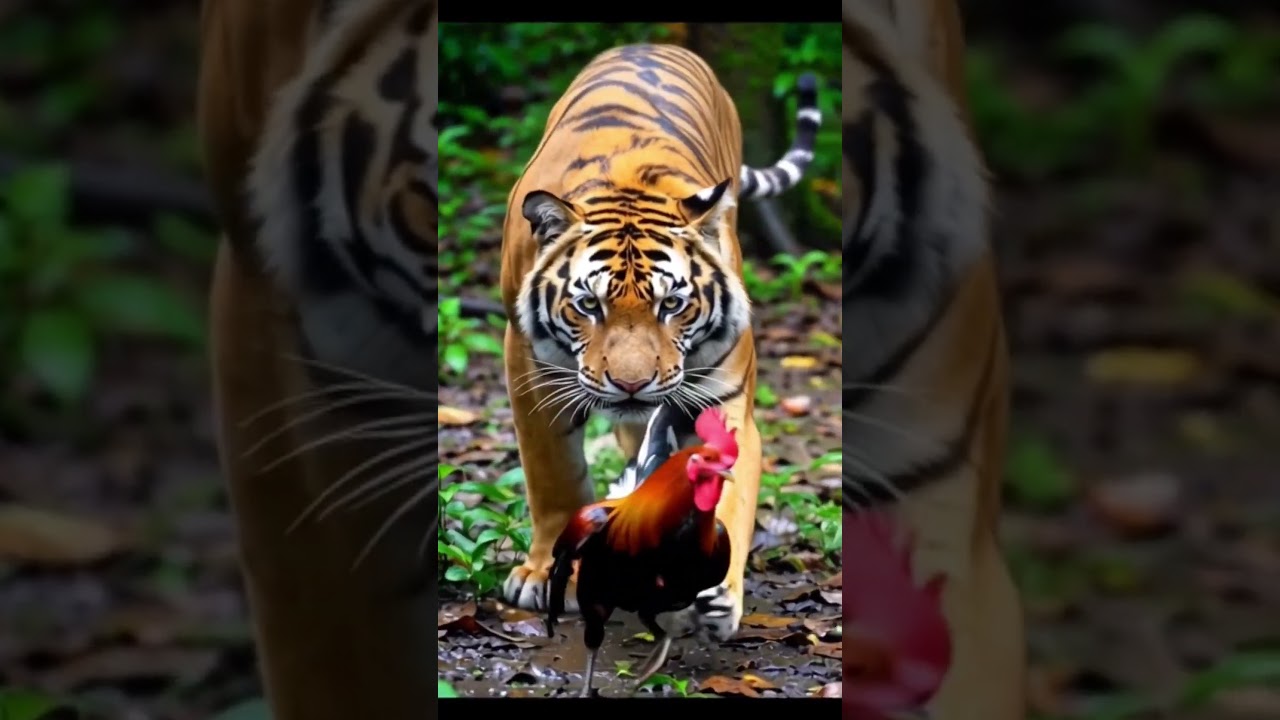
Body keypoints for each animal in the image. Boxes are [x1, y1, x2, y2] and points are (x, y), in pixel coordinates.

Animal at [497, 42, 821, 643]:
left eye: (672, 304)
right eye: (588, 305)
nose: (632, 384)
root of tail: (650, 44)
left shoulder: (722, 400)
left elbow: (727, 490)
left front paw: (718, 594)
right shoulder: (528, 369)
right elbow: (552, 475)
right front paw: (543, 574)